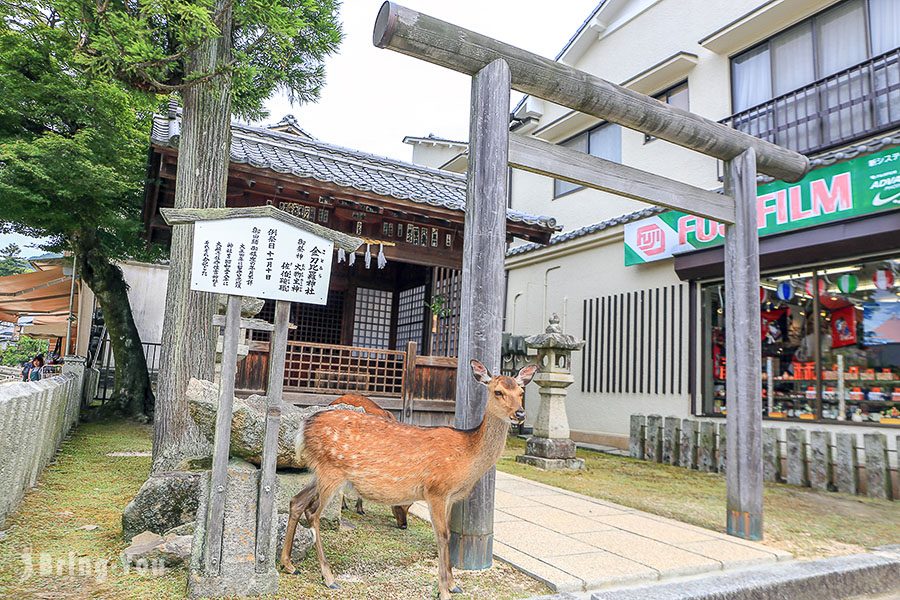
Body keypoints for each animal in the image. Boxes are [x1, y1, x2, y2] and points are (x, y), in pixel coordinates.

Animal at [280, 358, 536, 596]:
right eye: (498, 391)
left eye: (521, 392)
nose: (520, 413)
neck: (467, 456)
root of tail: (303, 427)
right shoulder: (436, 490)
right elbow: (442, 536)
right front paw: (444, 590)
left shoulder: (451, 497)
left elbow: (449, 536)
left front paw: (454, 585)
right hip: (331, 471)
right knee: (313, 513)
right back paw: (328, 577)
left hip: (321, 472)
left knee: (296, 501)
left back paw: (289, 565)